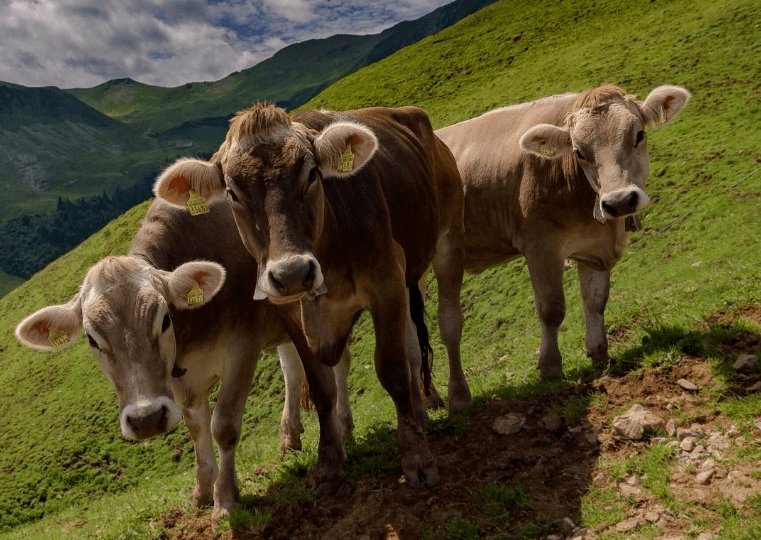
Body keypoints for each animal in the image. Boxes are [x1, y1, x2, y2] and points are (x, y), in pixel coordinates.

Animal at [14, 198, 354, 524]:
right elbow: (195, 425)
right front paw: (203, 490)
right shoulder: (179, 378)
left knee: (338, 361)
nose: (146, 419)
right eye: (91, 339)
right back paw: (289, 439)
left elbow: (223, 425)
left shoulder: (242, 349)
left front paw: (225, 500)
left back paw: (343, 427)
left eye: (164, 319)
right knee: (291, 369)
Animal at [151, 103, 466, 496]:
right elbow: (320, 388)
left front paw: (417, 460)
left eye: (312, 173)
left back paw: (455, 399)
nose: (291, 273)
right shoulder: (292, 316)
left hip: (444, 244)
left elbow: (392, 370)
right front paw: (328, 466)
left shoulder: (387, 282)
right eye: (233, 193)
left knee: (446, 324)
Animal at [434, 82, 688, 382]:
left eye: (639, 135)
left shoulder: (594, 249)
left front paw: (599, 354)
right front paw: (550, 368)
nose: (619, 201)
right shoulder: (540, 245)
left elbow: (595, 300)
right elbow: (551, 309)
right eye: (578, 152)